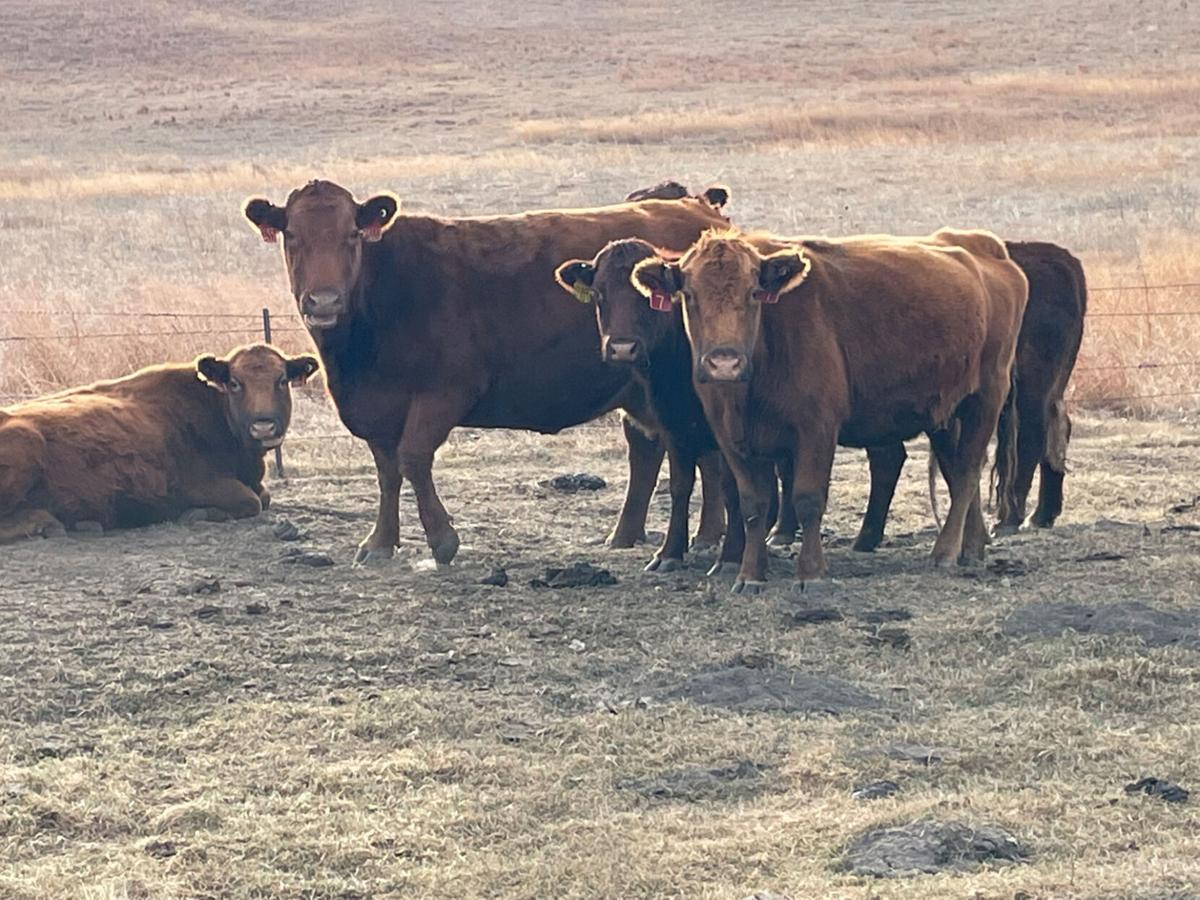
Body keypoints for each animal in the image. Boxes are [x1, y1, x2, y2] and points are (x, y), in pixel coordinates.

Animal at [0, 344, 319, 543]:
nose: (263, 424)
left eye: (281, 380)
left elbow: (264, 497)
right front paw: (196, 514)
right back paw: (48, 523)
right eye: (235, 383)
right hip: (27, 442)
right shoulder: (198, 486)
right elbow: (252, 501)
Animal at [241, 180, 731, 565]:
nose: (324, 301)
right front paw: (380, 542)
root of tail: (705, 215)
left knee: (699, 451)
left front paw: (443, 540)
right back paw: (628, 535)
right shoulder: (376, 408)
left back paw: (707, 537)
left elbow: (413, 458)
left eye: (351, 235)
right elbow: (387, 471)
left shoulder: (444, 393)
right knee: (653, 447)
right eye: (292, 235)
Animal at [631, 228, 1027, 592]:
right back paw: (971, 549)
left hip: (986, 396)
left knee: (967, 471)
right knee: (957, 471)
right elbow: (752, 505)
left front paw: (811, 573)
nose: (724, 363)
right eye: (689, 295)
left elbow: (807, 499)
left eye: (754, 292)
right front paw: (750, 574)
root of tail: (984, 246)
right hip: (945, 412)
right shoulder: (731, 437)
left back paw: (945, 552)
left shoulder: (816, 429)